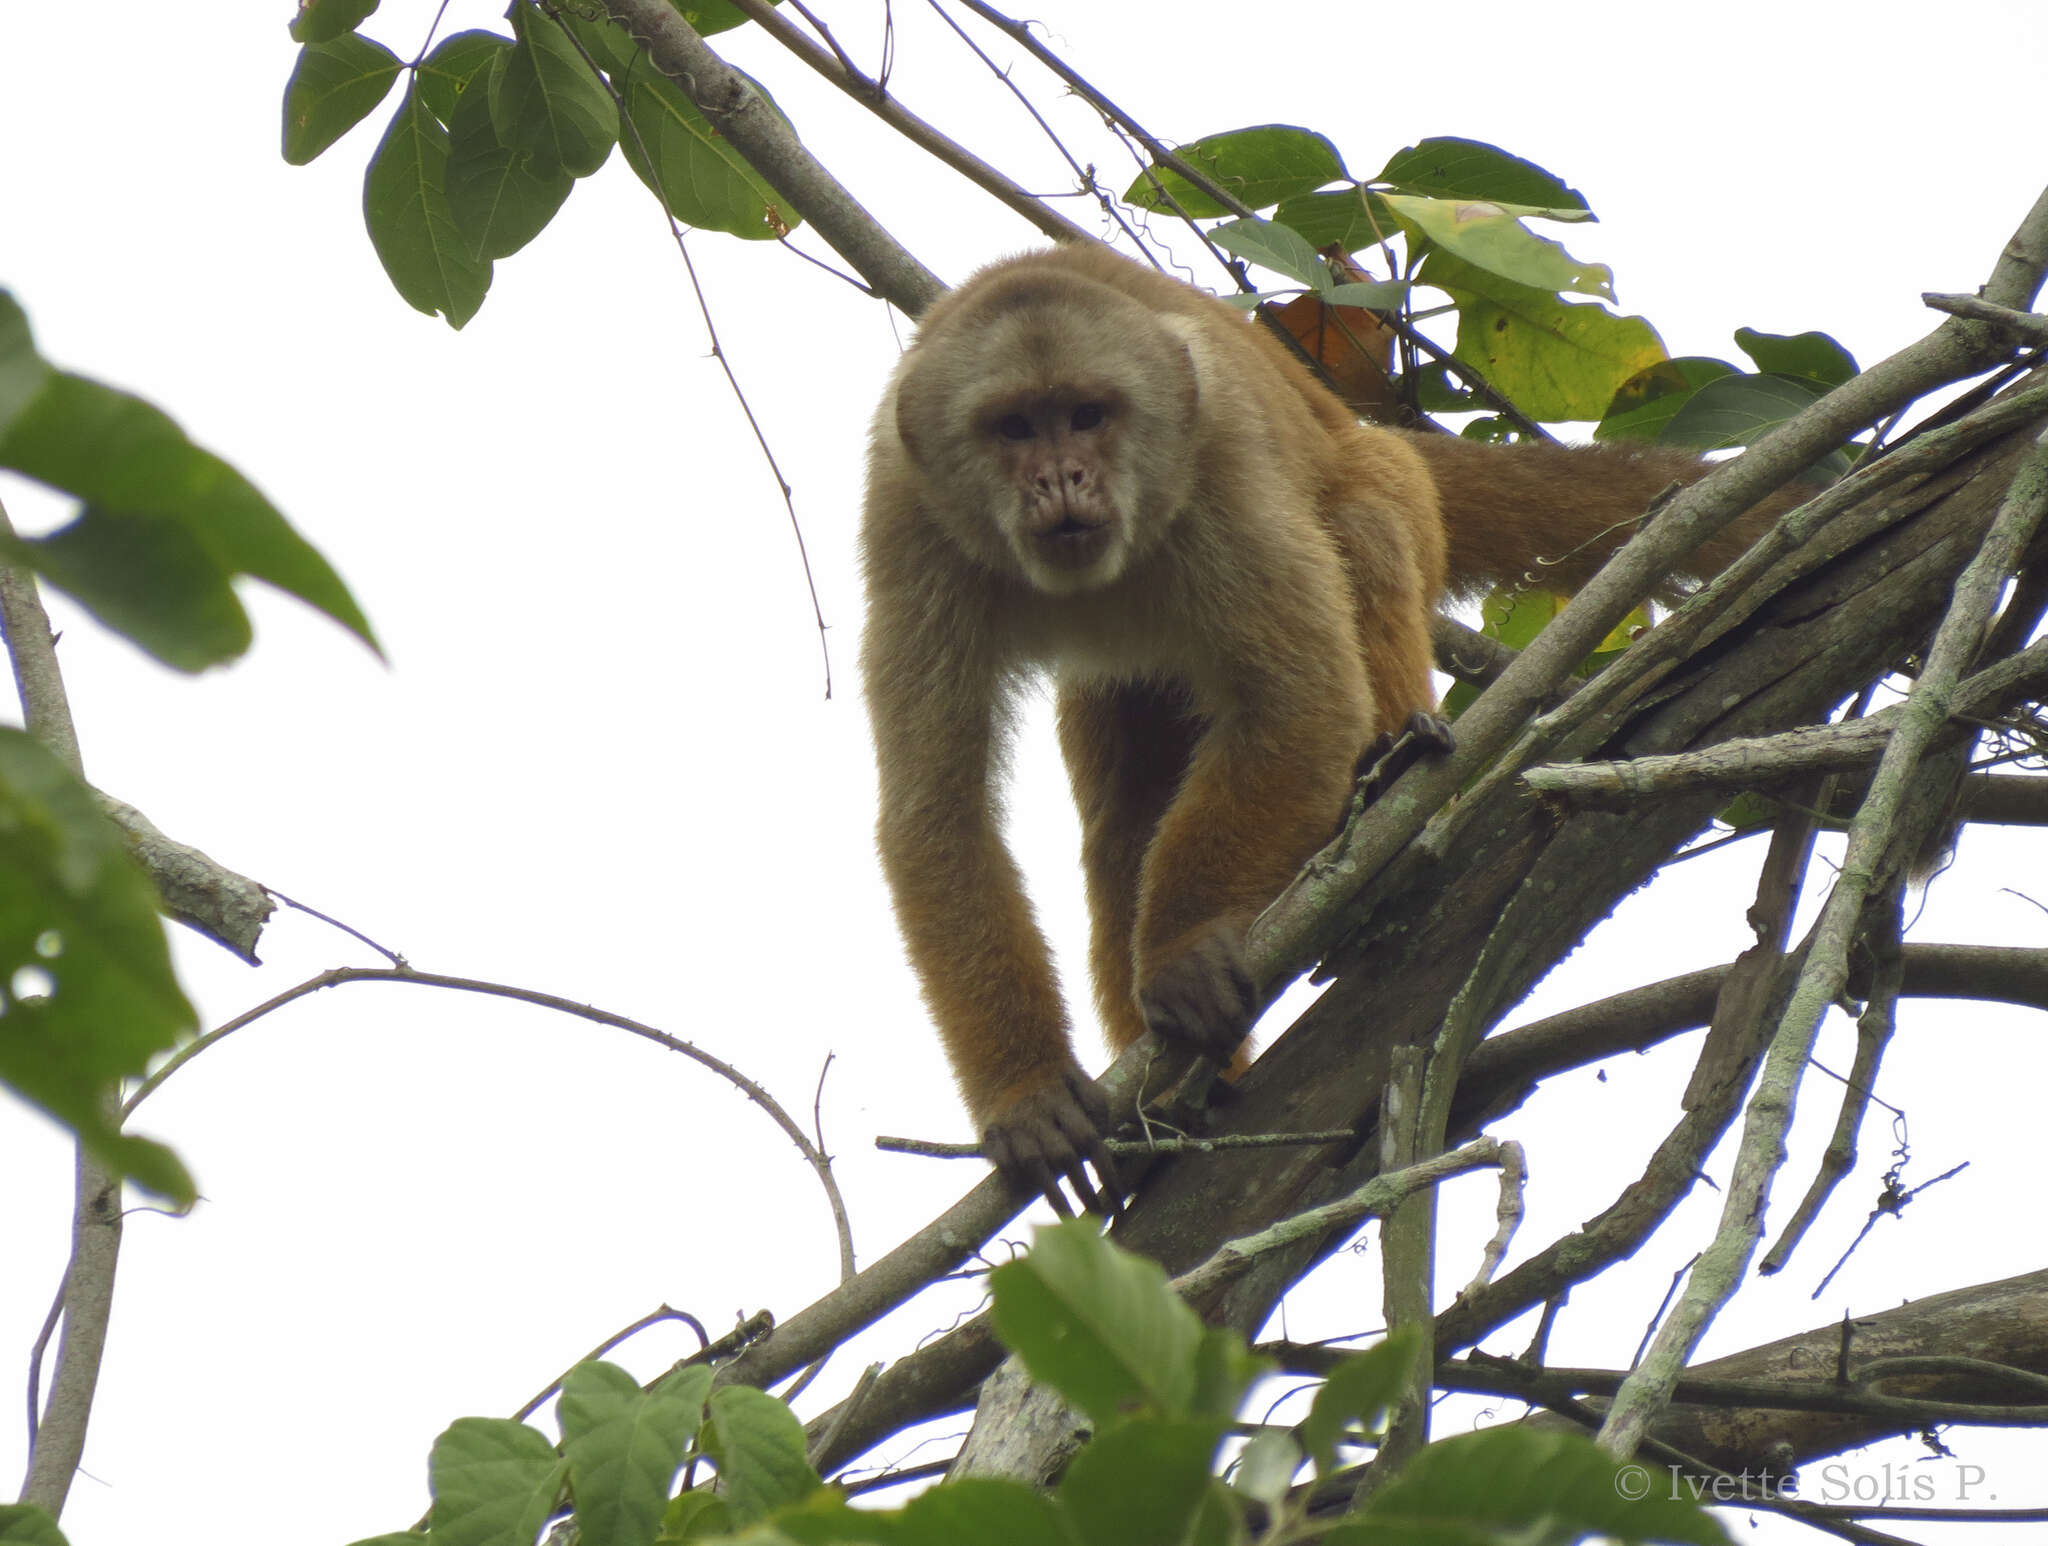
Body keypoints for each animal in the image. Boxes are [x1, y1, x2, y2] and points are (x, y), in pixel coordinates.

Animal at [860, 244, 1777, 1212]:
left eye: (1085, 415)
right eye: (1014, 430)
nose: (1060, 479)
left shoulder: (1218, 457)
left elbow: (1305, 702)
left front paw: (1184, 949)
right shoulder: (906, 516)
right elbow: (937, 813)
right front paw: (1028, 1090)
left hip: (1391, 484)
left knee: (1362, 524)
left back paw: (1391, 793)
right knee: (1122, 822)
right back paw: (1179, 1111)